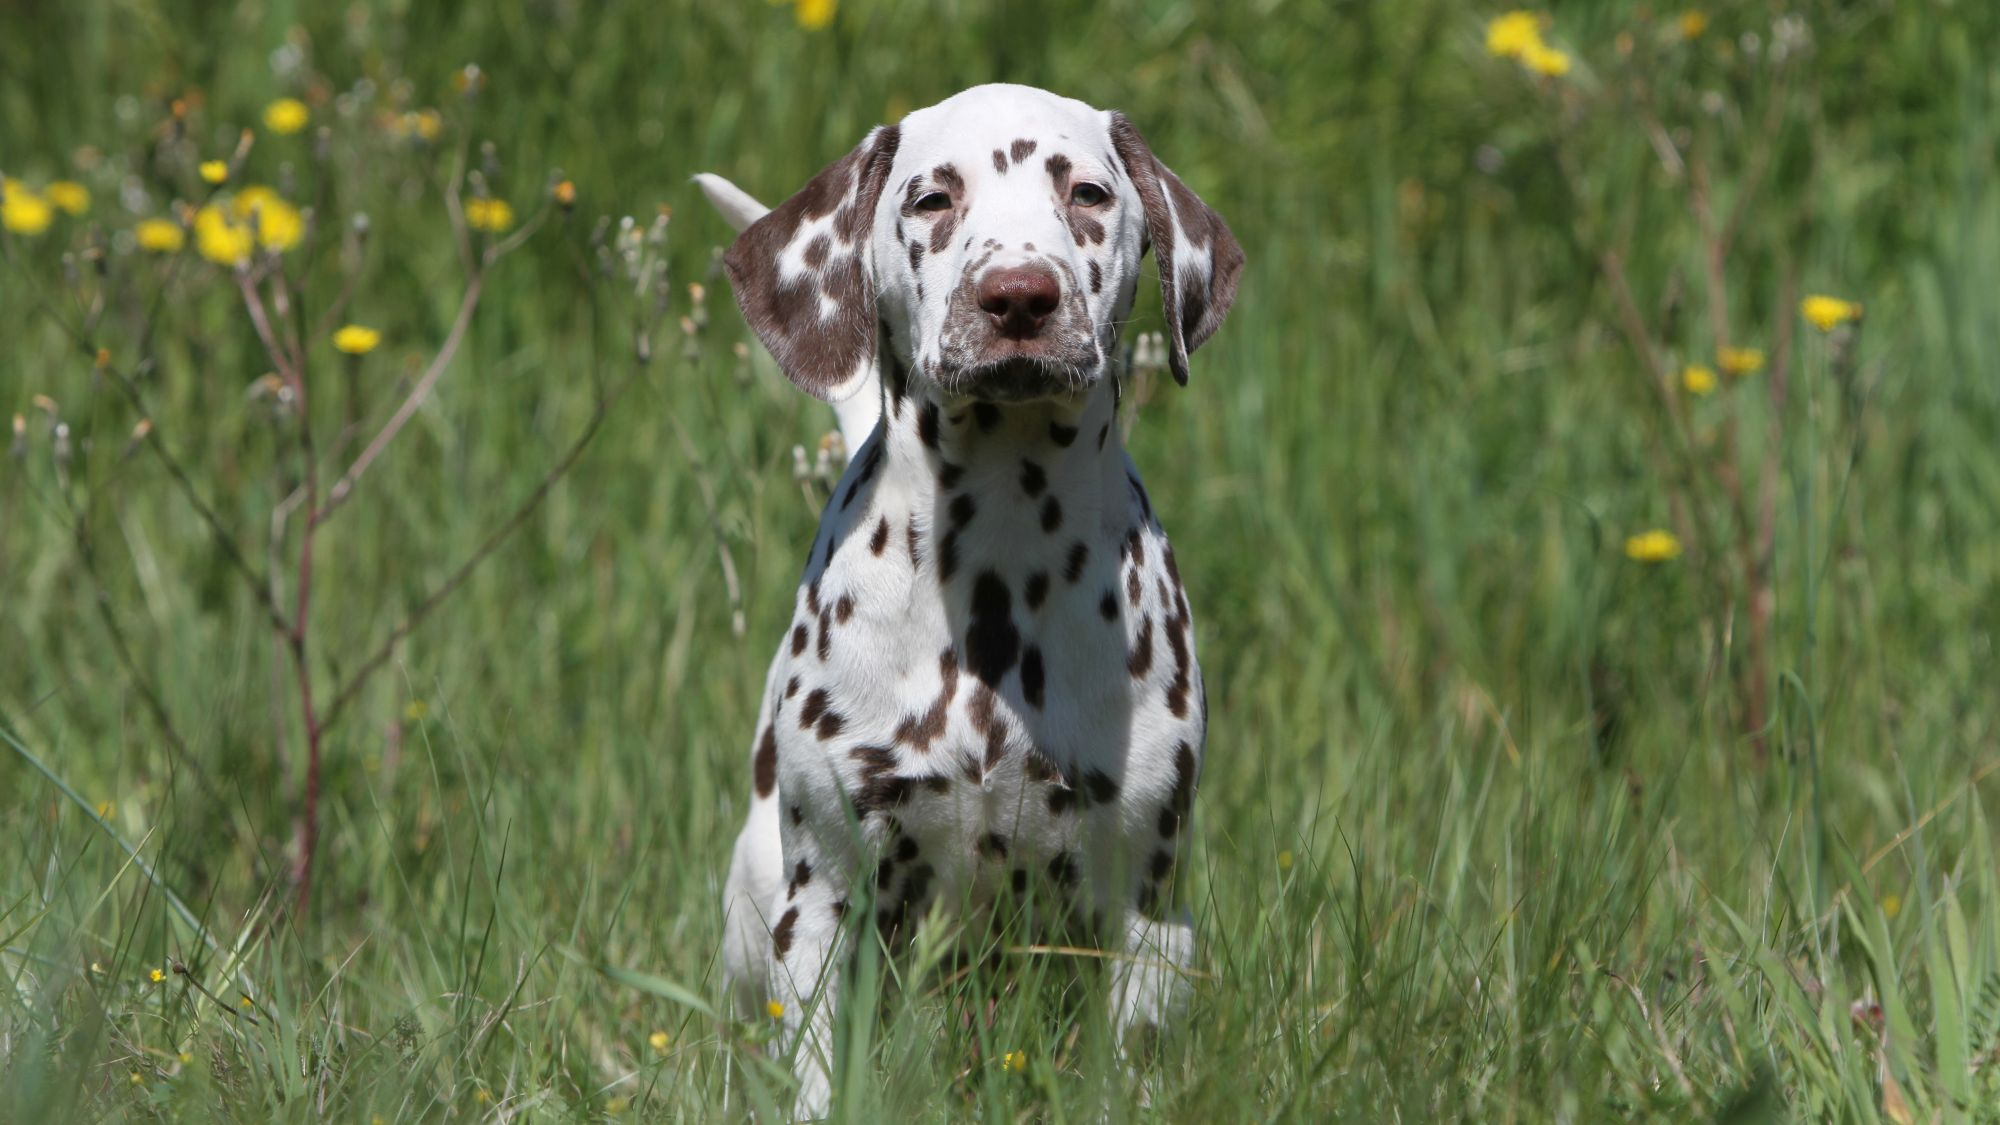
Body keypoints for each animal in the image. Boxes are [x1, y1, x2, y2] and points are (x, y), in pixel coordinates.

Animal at [700, 83, 1232, 1104]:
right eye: (932, 199)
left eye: (1089, 194)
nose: (1019, 294)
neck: (997, 571)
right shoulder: (824, 903)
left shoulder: (1144, 914)